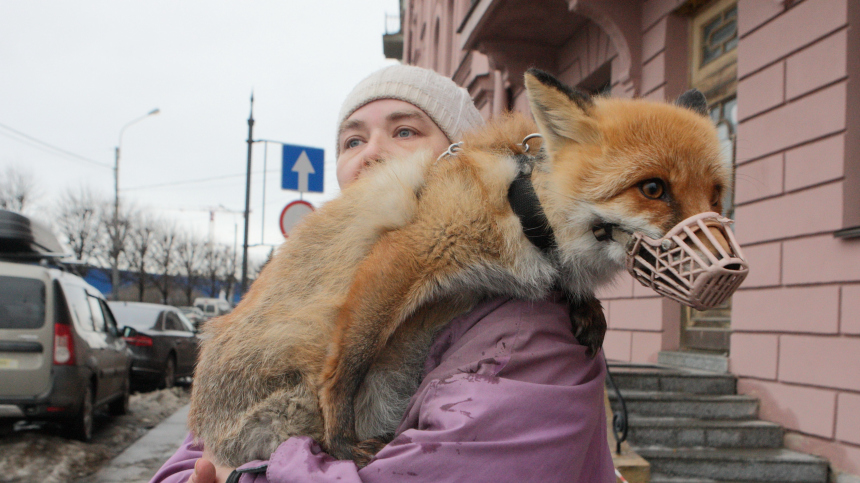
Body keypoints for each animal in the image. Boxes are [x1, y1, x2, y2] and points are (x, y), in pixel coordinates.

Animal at [186, 69, 744, 468]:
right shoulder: (405, 254)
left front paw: (583, 302)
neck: (520, 204)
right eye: (653, 188)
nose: (730, 269)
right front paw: (341, 440)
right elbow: (347, 365)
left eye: (717, 195)